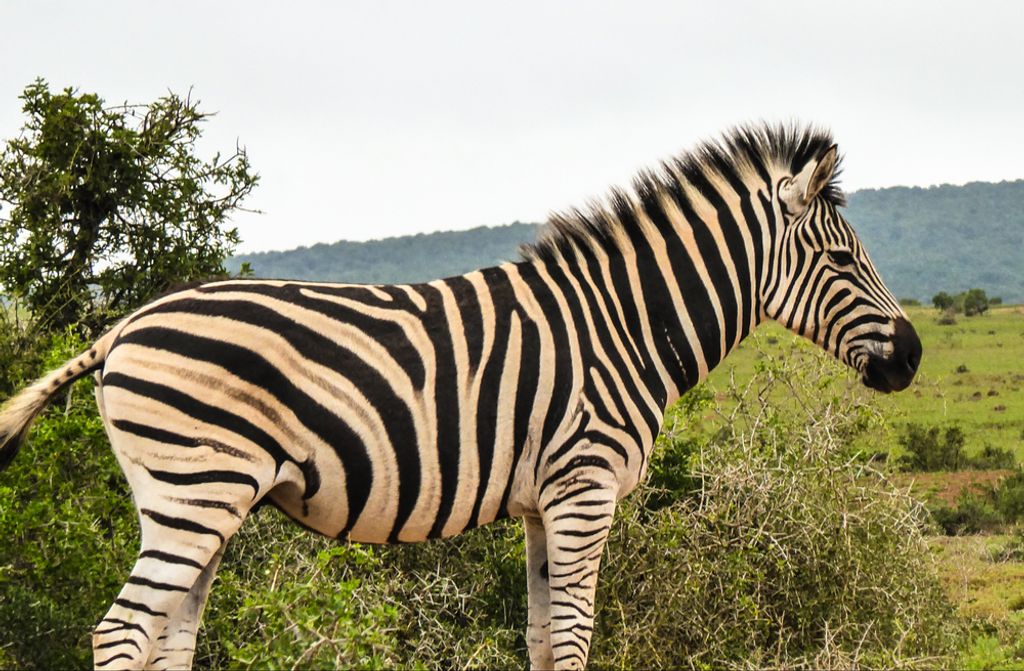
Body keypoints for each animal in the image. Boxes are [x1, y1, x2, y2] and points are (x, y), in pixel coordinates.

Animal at [0, 123, 921, 670]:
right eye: (843, 261)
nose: (912, 356)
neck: (626, 322)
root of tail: (123, 326)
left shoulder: (544, 503)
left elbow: (545, 639)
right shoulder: (584, 487)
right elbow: (576, 638)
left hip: (201, 498)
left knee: (167, 633)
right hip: (196, 488)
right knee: (122, 628)